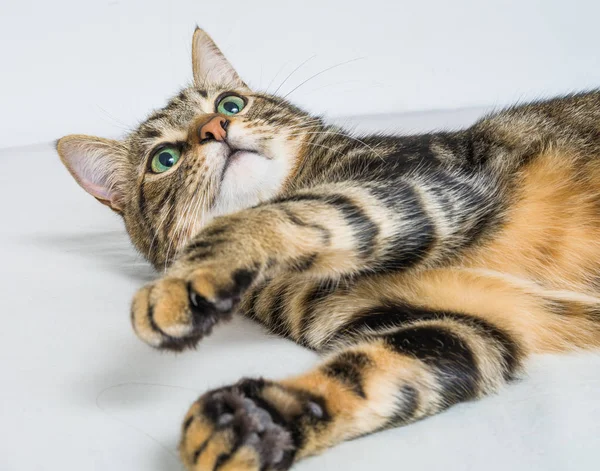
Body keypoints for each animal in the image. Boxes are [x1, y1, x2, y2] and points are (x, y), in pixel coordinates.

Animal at [55, 28, 600, 471]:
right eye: (164, 159)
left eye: (230, 104)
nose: (215, 130)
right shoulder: (468, 324)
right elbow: (367, 375)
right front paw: (253, 421)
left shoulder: (428, 180)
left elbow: (305, 211)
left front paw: (181, 281)